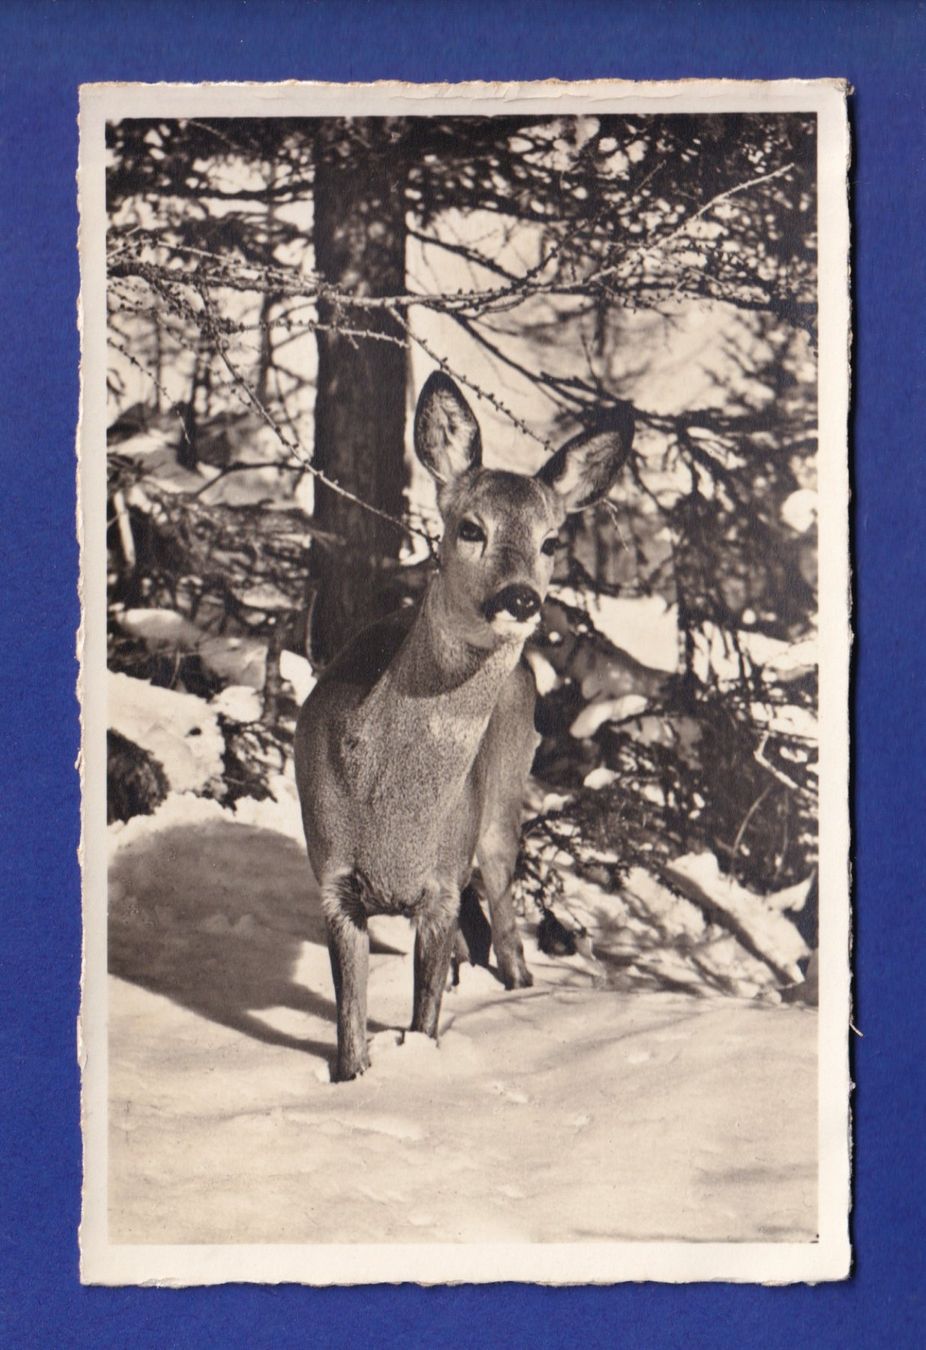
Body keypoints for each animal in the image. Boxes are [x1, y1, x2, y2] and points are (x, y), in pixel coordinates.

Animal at [295, 372, 634, 1081]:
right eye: (471, 527)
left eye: (551, 541)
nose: (520, 598)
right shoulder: (334, 879)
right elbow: (349, 1029)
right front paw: (352, 1079)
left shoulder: (443, 885)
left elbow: (424, 1019)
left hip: (503, 800)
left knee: (505, 913)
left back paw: (519, 985)